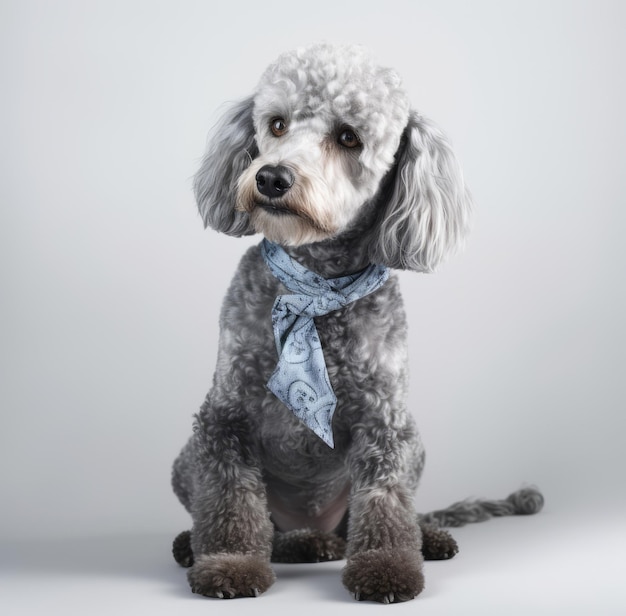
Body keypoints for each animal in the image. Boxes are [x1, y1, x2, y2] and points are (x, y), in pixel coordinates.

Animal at [172, 44, 540, 608]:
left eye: (349, 137)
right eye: (276, 124)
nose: (271, 177)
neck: (316, 289)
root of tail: (315, 528)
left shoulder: (384, 423)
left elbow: (385, 504)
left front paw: (388, 567)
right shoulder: (224, 419)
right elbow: (230, 499)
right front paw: (228, 563)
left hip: (415, 446)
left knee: (377, 519)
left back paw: (421, 538)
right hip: (185, 462)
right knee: (264, 529)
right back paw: (211, 546)